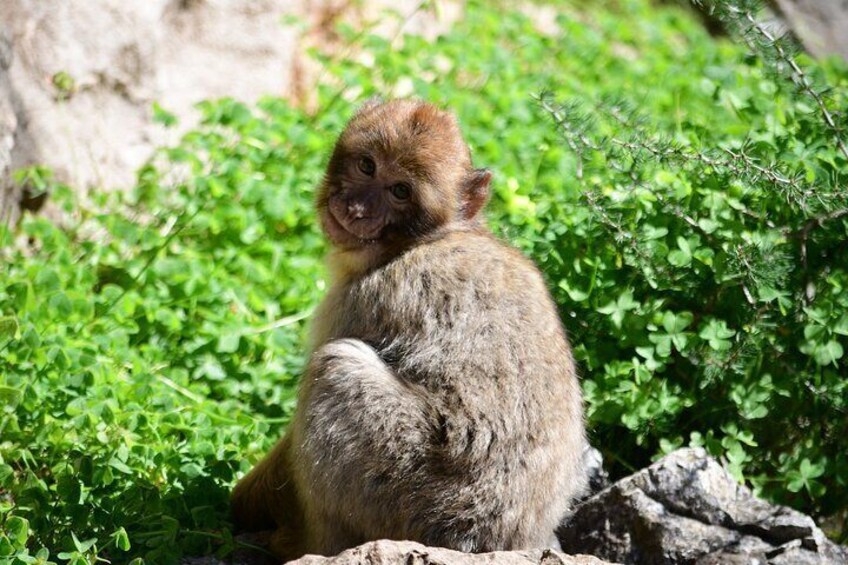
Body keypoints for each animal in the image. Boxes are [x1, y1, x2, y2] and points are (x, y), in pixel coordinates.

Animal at [232, 97, 588, 560]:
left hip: (410, 495)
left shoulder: (360, 300)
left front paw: (240, 504)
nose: (356, 208)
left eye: (400, 191)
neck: (416, 243)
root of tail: (490, 542)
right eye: (367, 166)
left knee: (337, 367)